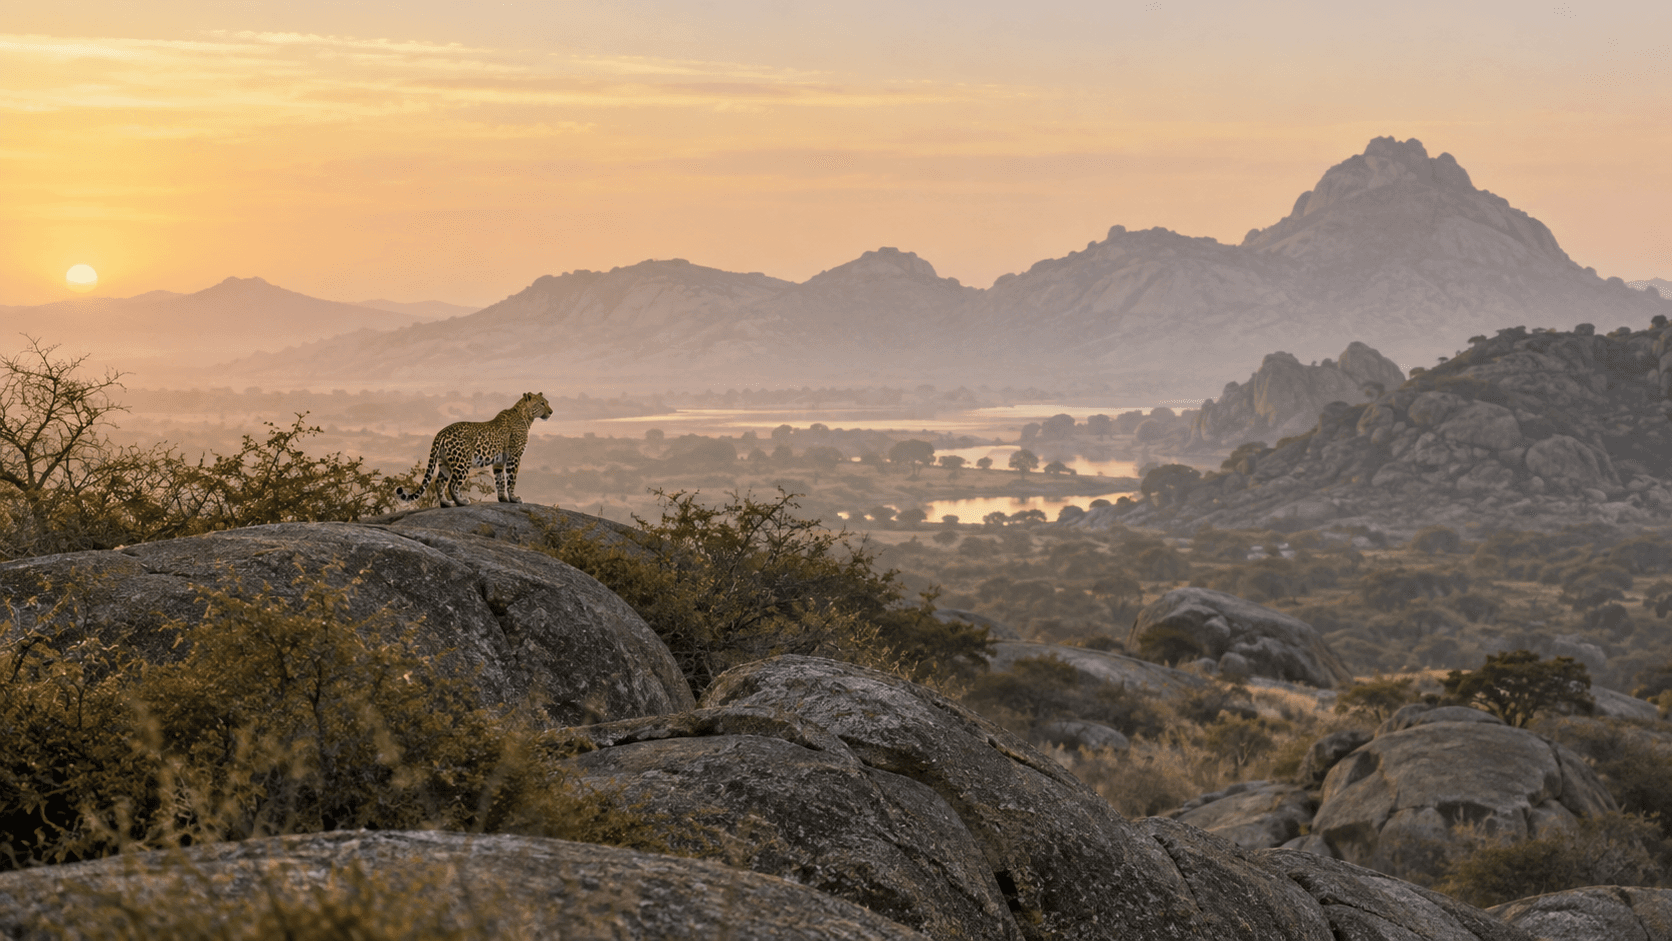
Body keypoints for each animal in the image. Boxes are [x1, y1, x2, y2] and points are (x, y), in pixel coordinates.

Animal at [396, 391, 554, 507]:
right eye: (542, 403)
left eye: (547, 402)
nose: (551, 412)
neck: (526, 417)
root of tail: (441, 432)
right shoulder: (514, 457)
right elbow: (511, 479)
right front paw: (514, 498)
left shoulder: (499, 460)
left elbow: (500, 480)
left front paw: (503, 499)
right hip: (462, 463)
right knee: (452, 484)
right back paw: (461, 502)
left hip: (444, 462)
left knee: (439, 482)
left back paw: (446, 503)